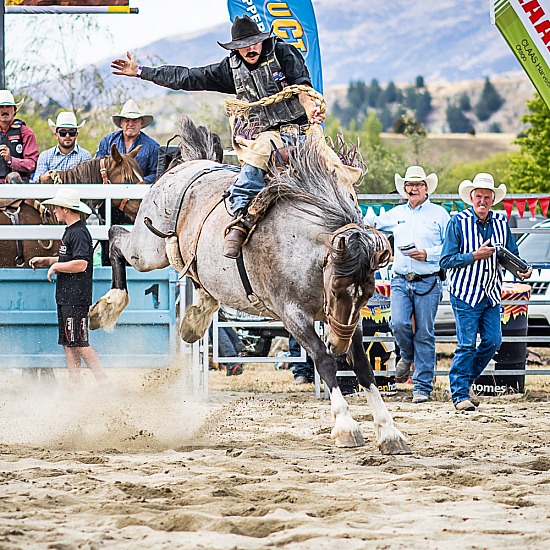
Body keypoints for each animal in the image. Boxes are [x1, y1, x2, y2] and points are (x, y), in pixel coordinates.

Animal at [88, 117, 412, 458]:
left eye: (366, 293)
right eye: (336, 287)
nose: (338, 343)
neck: (303, 246)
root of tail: (188, 166)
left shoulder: (347, 321)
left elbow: (362, 366)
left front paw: (389, 432)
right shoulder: (292, 314)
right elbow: (323, 359)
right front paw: (346, 427)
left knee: (198, 282)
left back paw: (194, 321)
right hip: (148, 250)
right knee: (116, 237)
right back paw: (106, 308)